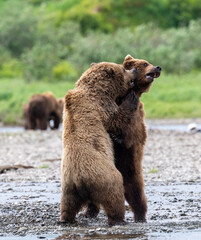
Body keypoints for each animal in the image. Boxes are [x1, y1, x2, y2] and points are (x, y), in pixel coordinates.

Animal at [60, 61, 138, 225]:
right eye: (124, 69)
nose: (134, 69)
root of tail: (80, 180)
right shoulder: (102, 106)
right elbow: (117, 120)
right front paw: (131, 98)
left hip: (68, 187)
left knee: (67, 205)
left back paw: (65, 218)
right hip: (106, 177)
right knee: (115, 196)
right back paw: (118, 218)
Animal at [86, 54, 162, 221]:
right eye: (145, 63)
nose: (158, 67)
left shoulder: (136, 117)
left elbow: (132, 134)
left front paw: (117, 137)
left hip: (131, 170)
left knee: (136, 194)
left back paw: (140, 215)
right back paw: (90, 211)